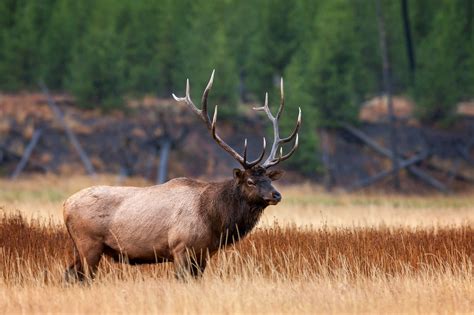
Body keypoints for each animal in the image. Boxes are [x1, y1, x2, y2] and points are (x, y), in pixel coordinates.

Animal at [64, 71, 300, 282]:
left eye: (269, 179)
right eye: (250, 181)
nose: (276, 195)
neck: (214, 219)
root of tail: (65, 205)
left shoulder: (203, 254)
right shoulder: (181, 248)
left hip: (79, 247)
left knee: (70, 274)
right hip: (89, 243)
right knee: (83, 277)